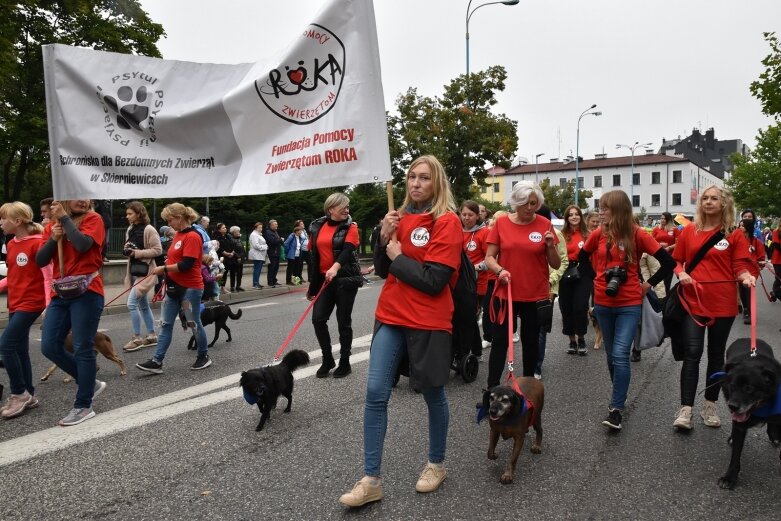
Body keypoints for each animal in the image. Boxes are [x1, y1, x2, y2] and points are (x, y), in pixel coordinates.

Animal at [720, 338, 780, 488]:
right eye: (732, 386)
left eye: (749, 389)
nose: (732, 406)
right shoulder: (740, 427)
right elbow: (735, 455)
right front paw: (729, 477)